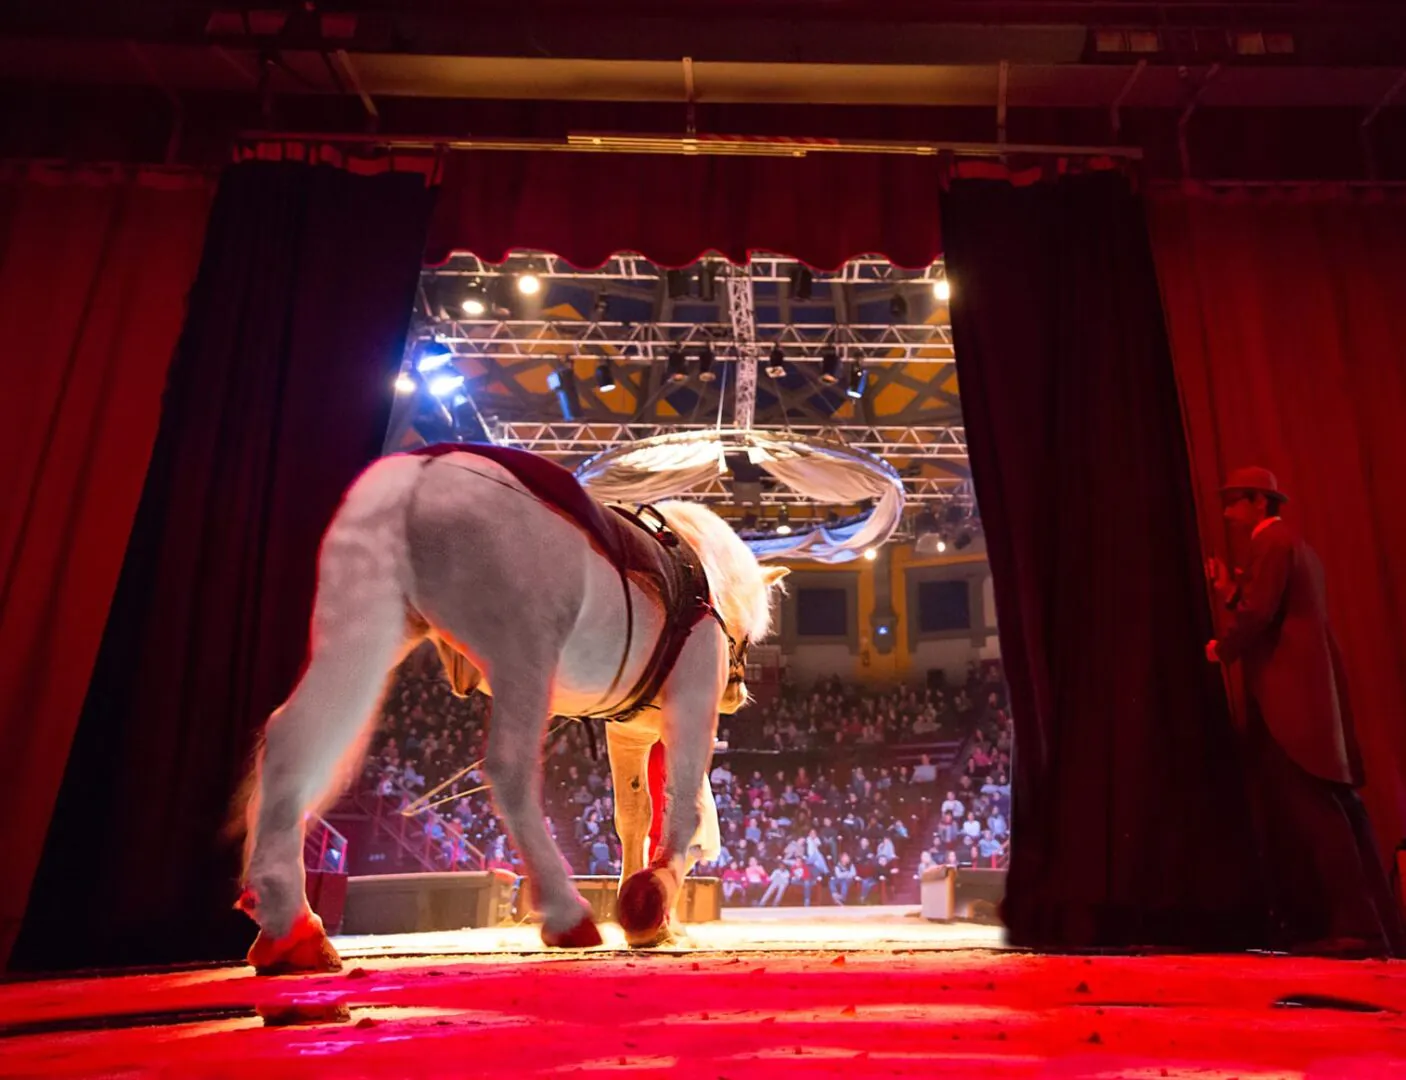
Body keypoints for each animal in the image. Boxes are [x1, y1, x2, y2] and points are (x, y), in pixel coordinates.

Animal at [233, 447, 781, 967]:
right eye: (748, 641)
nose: (737, 692)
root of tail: (422, 472)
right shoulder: (692, 699)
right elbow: (685, 807)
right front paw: (650, 898)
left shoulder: (631, 732)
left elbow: (635, 815)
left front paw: (649, 912)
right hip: (524, 650)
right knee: (509, 766)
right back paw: (565, 912)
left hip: (361, 626)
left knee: (293, 740)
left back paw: (291, 926)